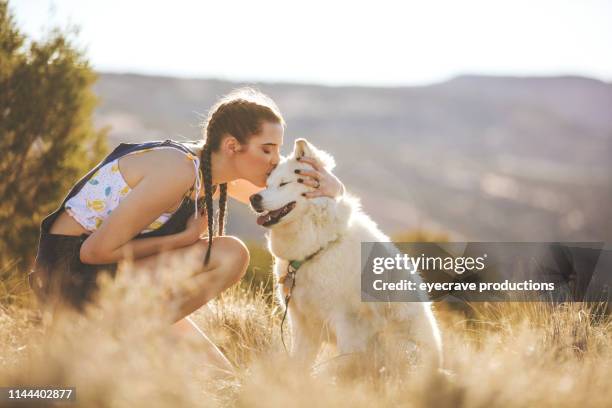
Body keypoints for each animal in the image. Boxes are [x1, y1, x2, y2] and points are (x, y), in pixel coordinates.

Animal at [249, 139, 444, 372]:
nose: (253, 198)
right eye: (267, 184)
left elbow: (341, 366)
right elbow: (299, 364)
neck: (320, 247)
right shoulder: (303, 324)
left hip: (401, 345)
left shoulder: (349, 326)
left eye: (283, 183)